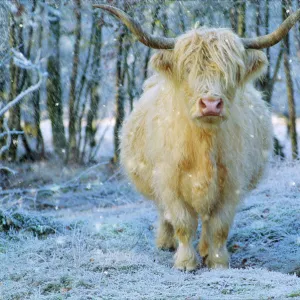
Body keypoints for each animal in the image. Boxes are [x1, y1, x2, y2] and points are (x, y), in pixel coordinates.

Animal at [95, 4, 300, 270]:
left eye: (232, 70)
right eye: (187, 69)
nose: (211, 104)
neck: (204, 144)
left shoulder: (231, 185)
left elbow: (219, 226)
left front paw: (217, 261)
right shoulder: (169, 183)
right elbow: (183, 223)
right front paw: (185, 262)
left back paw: (204, 248)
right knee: (165, 213)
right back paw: (165, 242)